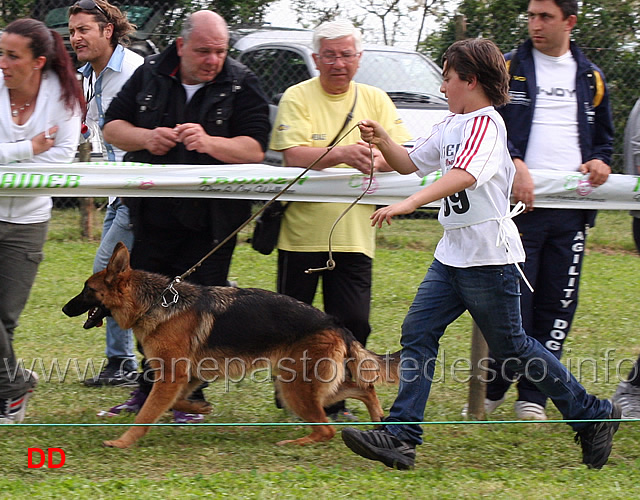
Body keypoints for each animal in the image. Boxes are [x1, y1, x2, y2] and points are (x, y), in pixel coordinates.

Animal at [62, 243, 398, 450]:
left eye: (87, 290)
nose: (64, 309)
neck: (156, 303)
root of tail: (334, 324)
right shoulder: (187, 376)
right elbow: (175, 401)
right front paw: (199, 408)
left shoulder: (171, 376)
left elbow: (146, 413)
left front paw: (123, 442)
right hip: (305, 385)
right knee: (364, 389)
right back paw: (380, 421)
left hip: (294, 388)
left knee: (327, 428)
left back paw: (296, 443)